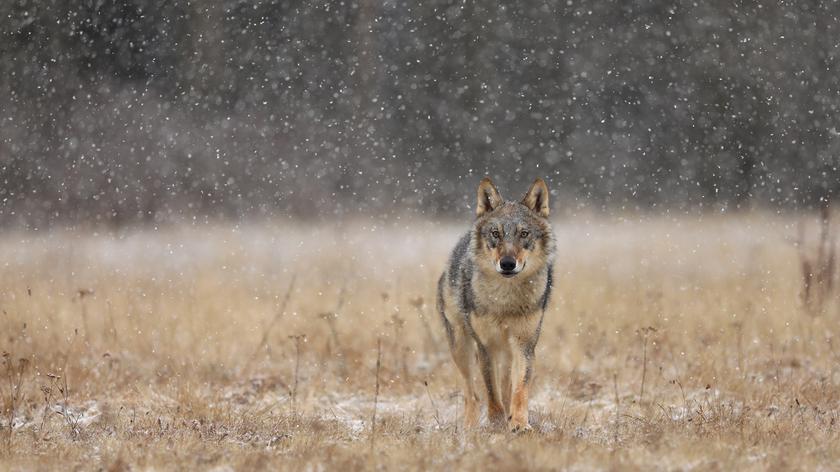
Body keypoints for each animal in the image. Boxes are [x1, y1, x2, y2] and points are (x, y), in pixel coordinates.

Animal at [436, 176, 556, 432]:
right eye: (495, 233)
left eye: (524, 233)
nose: (508, 263)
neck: (506, 300)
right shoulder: (485, 346)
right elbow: (491, 393)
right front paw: (496, 422)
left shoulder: (524, 344)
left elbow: (519, 389)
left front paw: (519, 423)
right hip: (460, 347)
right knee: (472, 394)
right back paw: (469, 427)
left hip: (507, 350)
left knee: (506, 385)